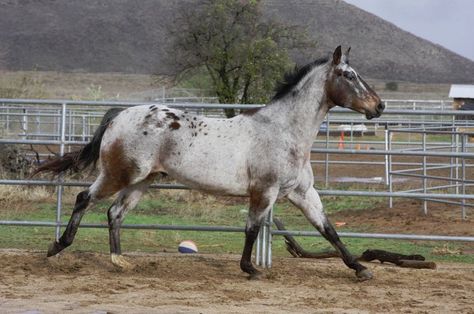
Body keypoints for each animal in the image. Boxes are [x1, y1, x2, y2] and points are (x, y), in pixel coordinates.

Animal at [33, 46, 384, 280]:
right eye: (348, 75)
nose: (379, 106)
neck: (282, 130)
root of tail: (120, 115)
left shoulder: (302, 193)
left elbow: (328, 230)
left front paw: (360, 269)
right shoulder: (265, 191)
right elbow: (252, 228)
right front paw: (250, 269)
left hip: (143, 181)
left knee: (114, 213)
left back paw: (120, 261)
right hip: (119, 175)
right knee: (84, 198)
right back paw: (57, 246)